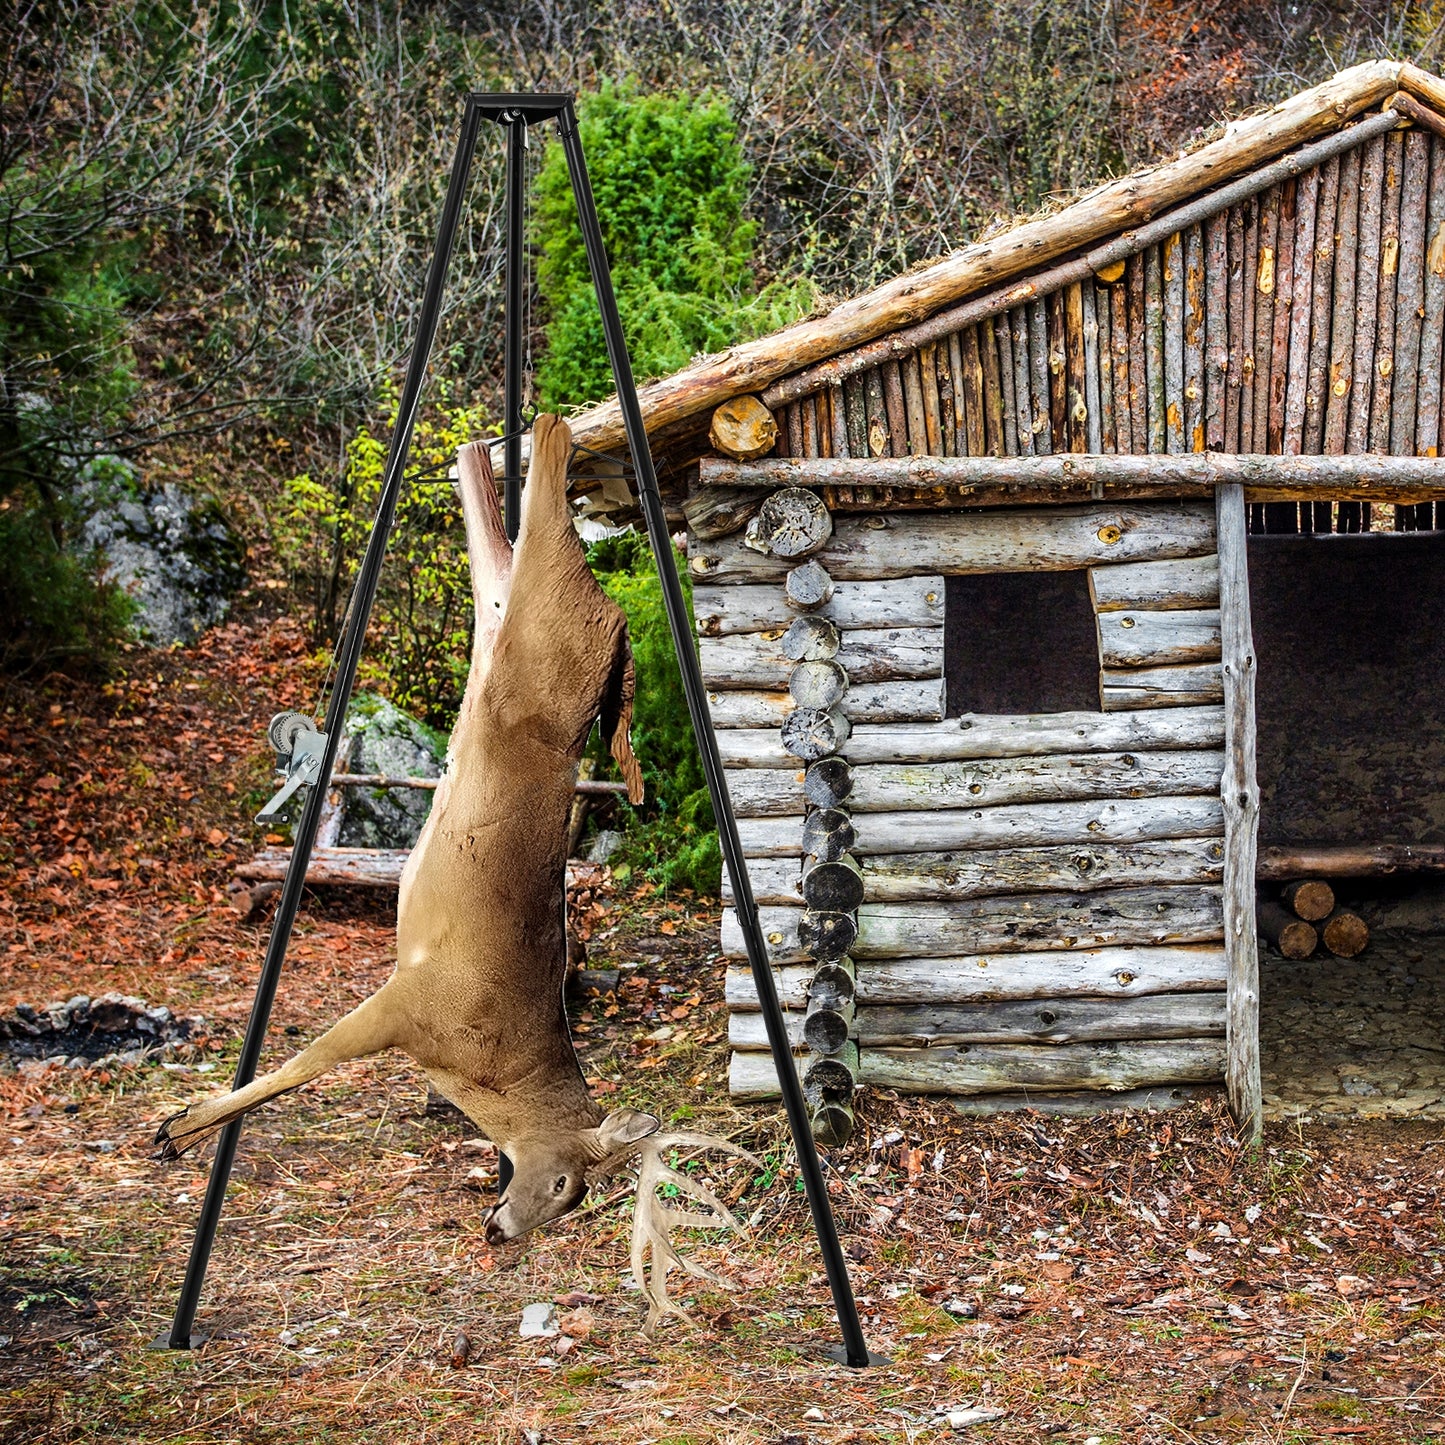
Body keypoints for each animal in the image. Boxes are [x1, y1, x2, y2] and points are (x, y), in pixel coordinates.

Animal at [156, 414, 757, 1329]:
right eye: (562, 1183)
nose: (500, 1230)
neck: (490, 1068)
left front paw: (180, 1125)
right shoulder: (412, 1000)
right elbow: (302, 1065)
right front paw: (179, 1126)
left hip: (510, 626)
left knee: (496, 554)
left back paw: (481, 448)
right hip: (540, 635)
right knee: (545, 536)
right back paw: (546, 432)